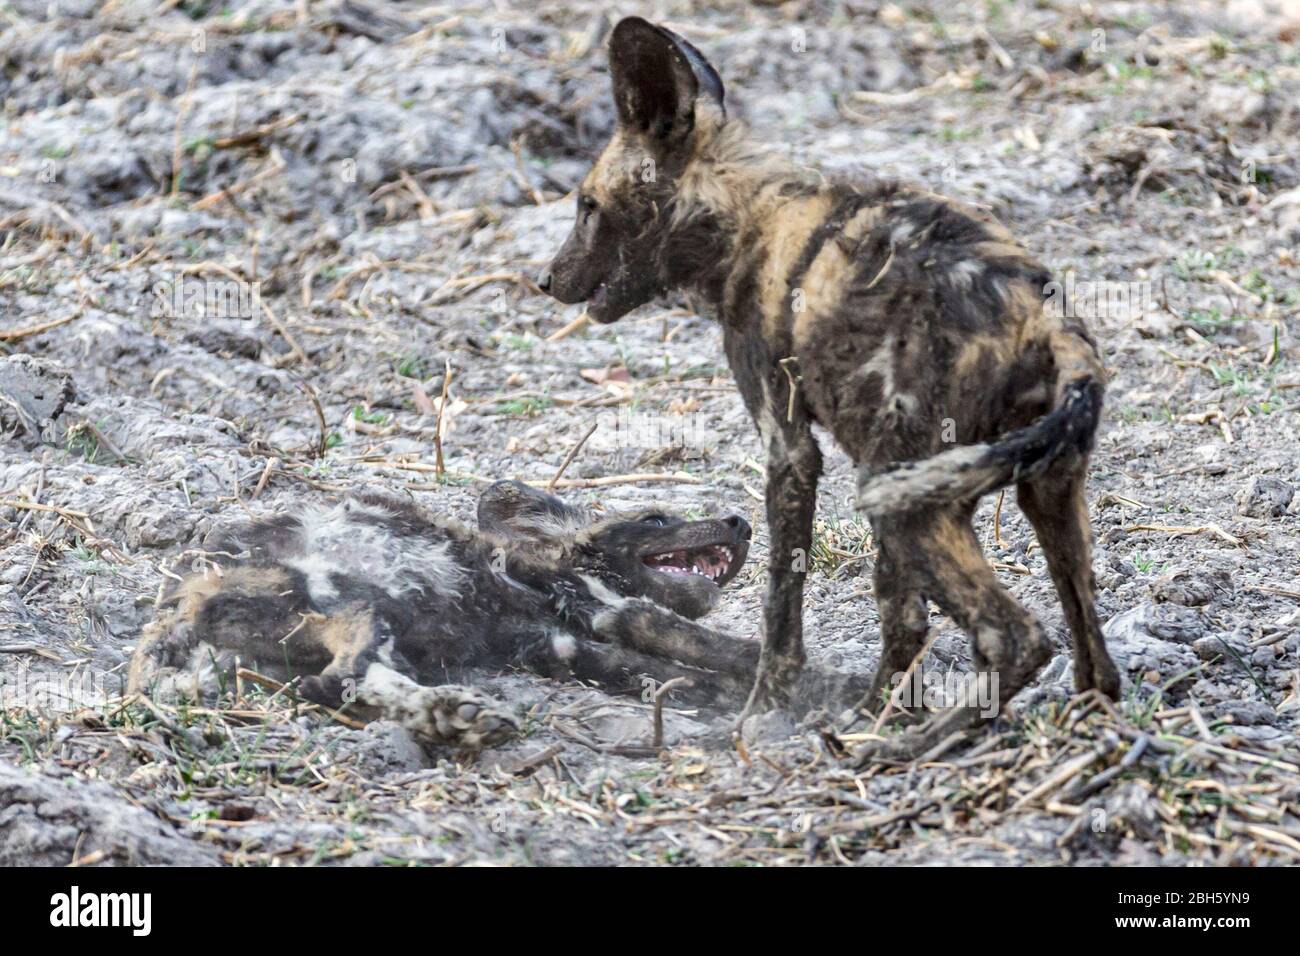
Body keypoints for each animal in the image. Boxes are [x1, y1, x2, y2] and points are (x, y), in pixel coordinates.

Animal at [131, 481, 863, 749]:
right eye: (657, 519)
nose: (739, 521)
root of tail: (180, 596)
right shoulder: (611, 611)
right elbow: (730, 651)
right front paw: (846, 689)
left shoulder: (564, 643)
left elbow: (685, 676)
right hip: (354, 599)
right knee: (340, 677)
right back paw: (456, 717)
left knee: (337, 683)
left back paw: (456, 716)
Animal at [543, 16, 1123, 764]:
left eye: (586, 206)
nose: (546, 280)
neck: (744, 216)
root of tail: (1048, 321)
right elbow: (902, 621)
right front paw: (878, 710)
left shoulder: (788, 445)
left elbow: (781, 608)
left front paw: (766, 714)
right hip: (1037, 491)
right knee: (1092, 654)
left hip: (902, 499)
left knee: (1015, 636)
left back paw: (906, 749)